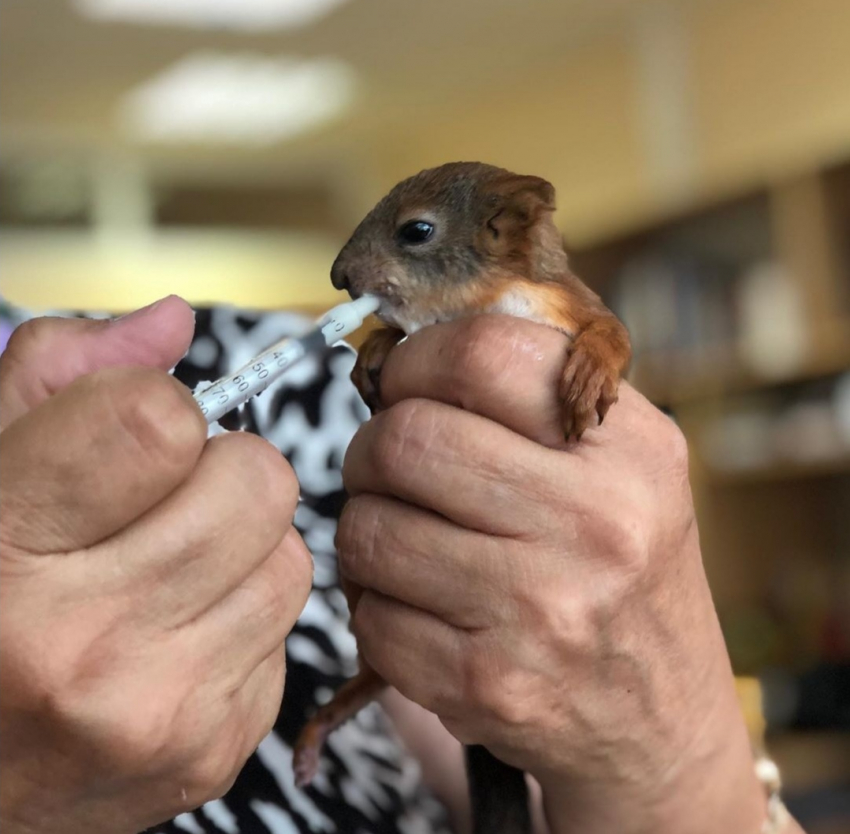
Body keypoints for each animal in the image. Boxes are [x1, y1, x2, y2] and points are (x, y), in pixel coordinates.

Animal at [292, 164, 628, 832]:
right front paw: (372, 350)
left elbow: (614, 334)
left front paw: (592, 372)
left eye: (417, 231)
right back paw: (321, 726)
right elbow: (390, 336)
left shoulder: (572, 301)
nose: (339, 277)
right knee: (374, 677)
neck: (481, 301)